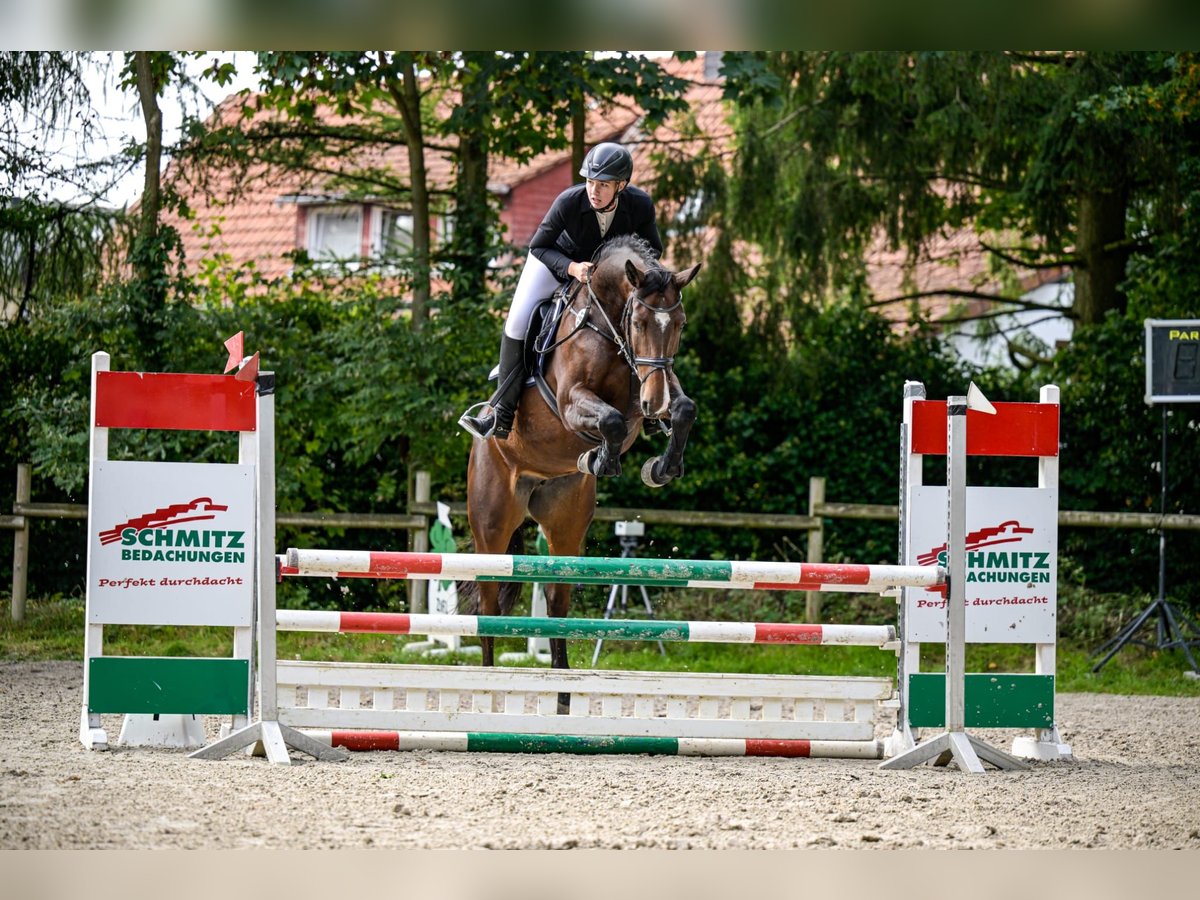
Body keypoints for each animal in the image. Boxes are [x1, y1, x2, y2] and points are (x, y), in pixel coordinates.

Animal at [463, 234, 700, 705]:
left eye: (680, 324)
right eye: (639, 322)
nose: (654, 404)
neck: (608, 326)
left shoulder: (652, 387)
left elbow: (682, 409)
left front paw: (661, 466)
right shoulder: (573, 400)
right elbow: (609, 419)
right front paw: (601, 459)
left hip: (566, 522)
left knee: (557, 604)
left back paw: (562, 694)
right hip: (492, 524)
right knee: (488, 608)